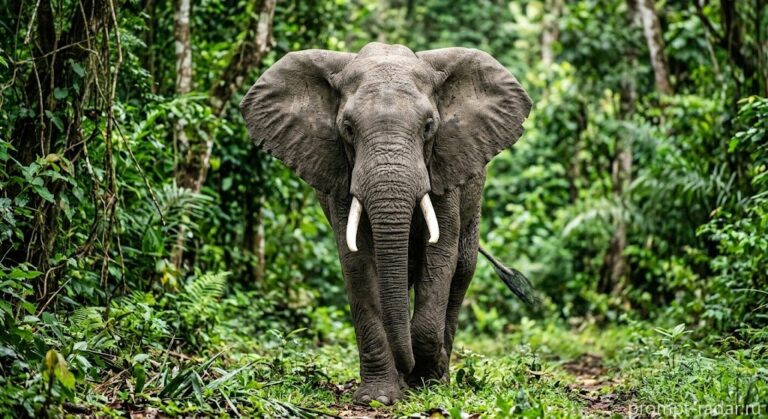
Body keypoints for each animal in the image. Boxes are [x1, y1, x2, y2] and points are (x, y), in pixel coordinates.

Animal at [240, 42, 536, 406]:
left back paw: (439, 377)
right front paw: (379, 397)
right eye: (348, 128)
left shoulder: (443, 170)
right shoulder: (342, 176)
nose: (409, 370)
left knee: (462, 271)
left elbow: (440, 257)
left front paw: (426, 380)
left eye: (428, 127)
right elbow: (358, 264)